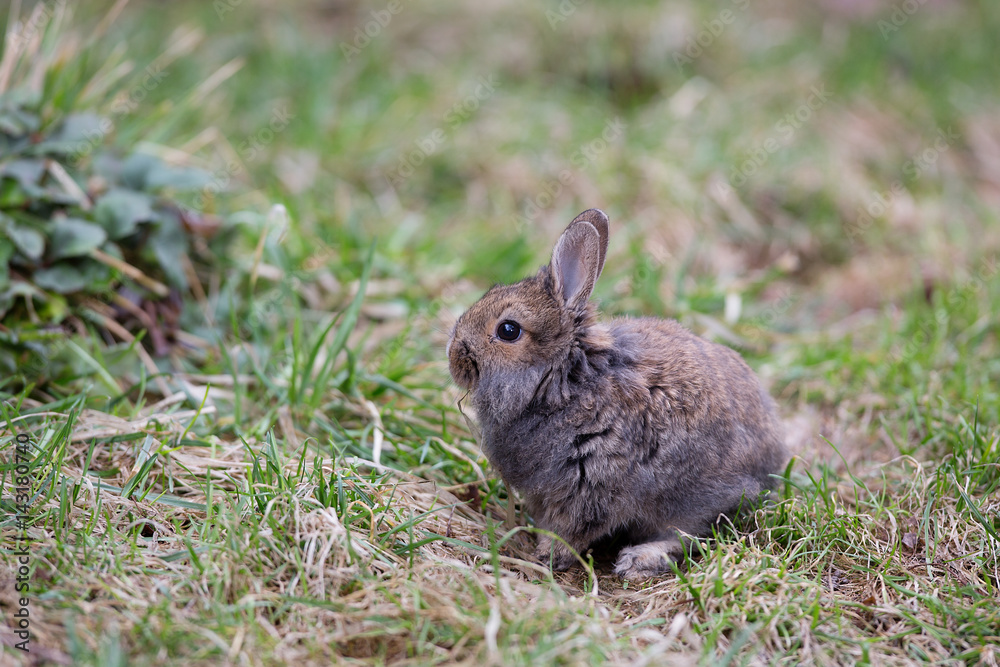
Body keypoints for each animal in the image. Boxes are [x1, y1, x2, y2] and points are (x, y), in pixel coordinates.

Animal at [447, 209, 788, 579]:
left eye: (508, 330)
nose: (453, 356)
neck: (566, 380)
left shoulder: (594, 480)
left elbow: (575, 527)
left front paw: (548, 554)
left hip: (696, 499)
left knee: (692, 536)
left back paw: (639, 558)